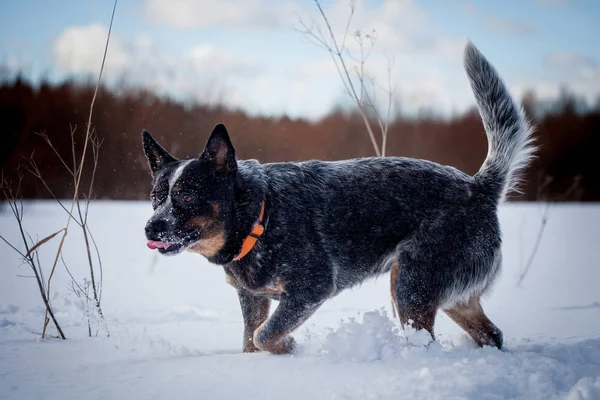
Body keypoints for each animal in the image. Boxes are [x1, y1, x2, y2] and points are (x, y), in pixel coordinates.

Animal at [142, 42, 536, 354]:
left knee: (426, 338)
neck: (258, 217)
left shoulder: (311, 288)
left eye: (187, 196)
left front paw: (288, 347)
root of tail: (478, 186)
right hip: (451, 293)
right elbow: (250, 339)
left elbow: (262, 335)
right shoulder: (252, 297)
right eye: (156, 196)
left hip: (412, 283)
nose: (150, 227)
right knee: (492, 334)